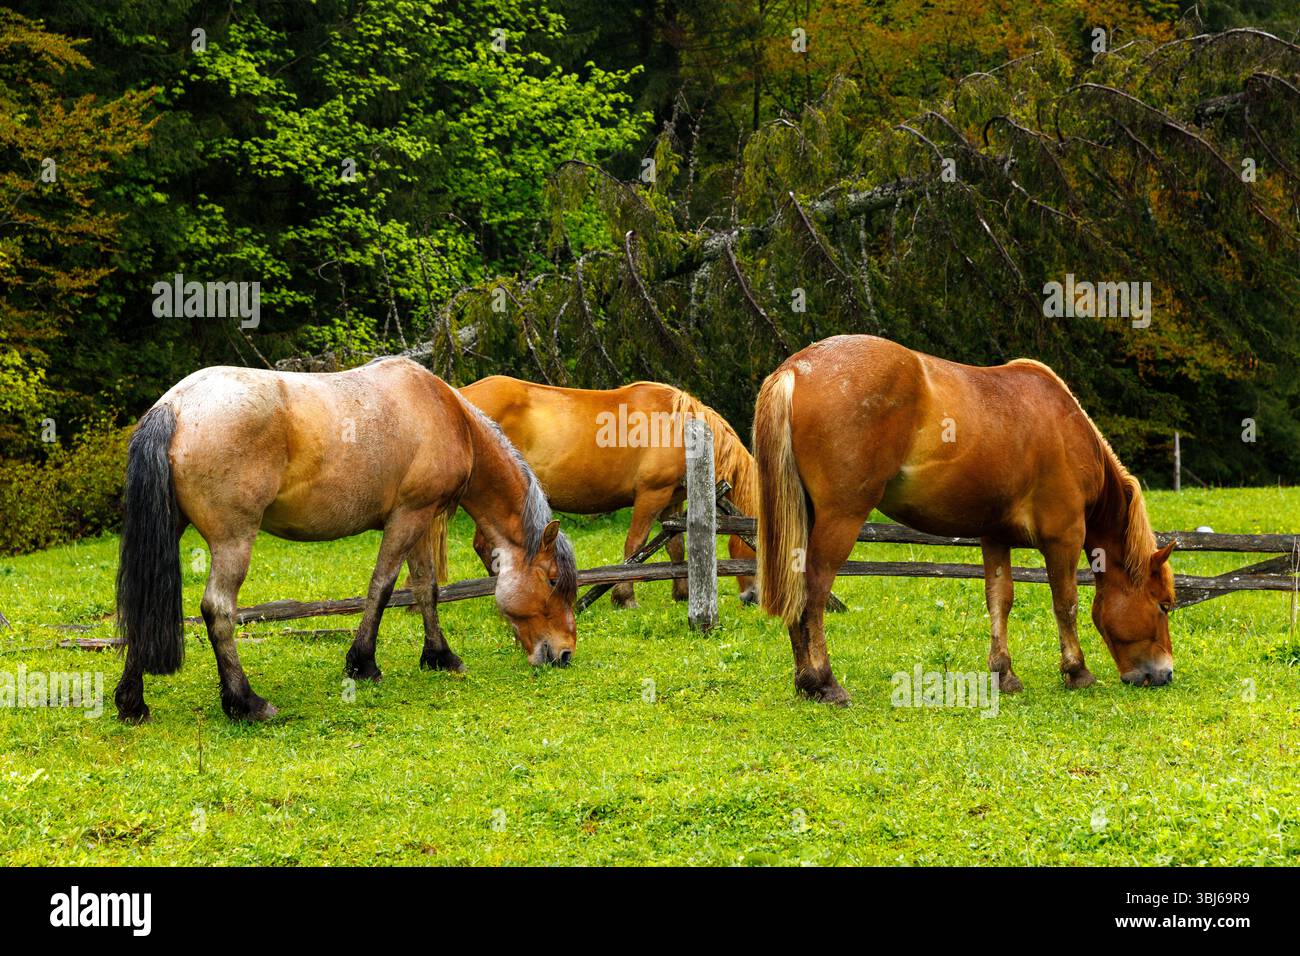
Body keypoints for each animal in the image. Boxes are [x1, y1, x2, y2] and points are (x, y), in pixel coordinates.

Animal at [113, 357, 578, 723]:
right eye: (553, 580)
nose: (565, 654)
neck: (447, 415)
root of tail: (175, 405)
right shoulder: (409, 517)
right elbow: (383, 586)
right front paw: (363, 663)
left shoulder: (422, 520)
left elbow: (426, 588)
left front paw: (439, 656)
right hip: (234, 540)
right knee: (218, 610)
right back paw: (246, 702)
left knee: (143, 602)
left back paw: (132, 703)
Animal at [454, 375, 760, 608]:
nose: (752, 597)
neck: (678, 427)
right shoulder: (651, 495)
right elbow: (635, 545)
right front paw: (624, 596)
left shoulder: (671, 501)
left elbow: (675, 546)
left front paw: (682, 593)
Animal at [753, 335, 1175, 706]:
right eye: (1164, 605)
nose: (1165, 674)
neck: (1065, 427)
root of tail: (796, 369)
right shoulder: (1064, 537)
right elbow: (1066, 602)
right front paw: (1077, 671)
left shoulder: (995, 536)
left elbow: (1000, 600)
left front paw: (1004, 673)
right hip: (841, 519)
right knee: (814, 592)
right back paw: (824, 681)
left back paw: (805, 681)